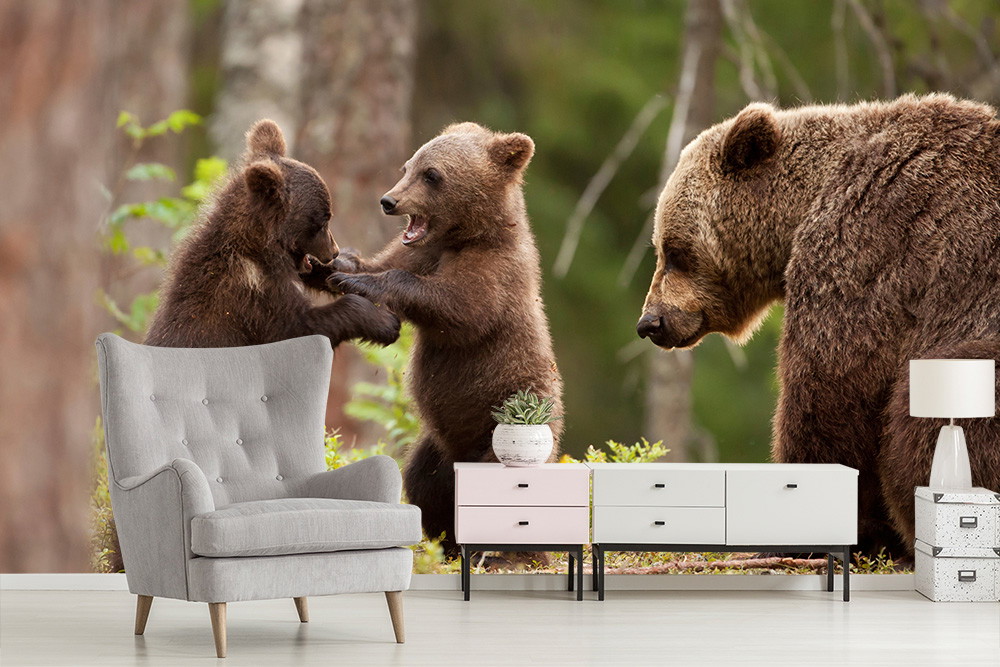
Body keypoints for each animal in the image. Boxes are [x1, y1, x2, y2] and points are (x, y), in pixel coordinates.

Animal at [145, 119, 400, 349]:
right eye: (323, 221)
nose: (333, 251)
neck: (259, 251)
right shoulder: (252, 298)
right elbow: (300, 327)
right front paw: (385, 322)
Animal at [321, 122, 564, 551]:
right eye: (407, 166)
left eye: (432, 174)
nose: (388, 200)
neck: (464, 237)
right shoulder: (420, 251)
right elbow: (383, 261)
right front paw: (341, 264)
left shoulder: (495, 274)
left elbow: (458, 308)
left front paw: (360, 281)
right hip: (437, 449)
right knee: (424, 482)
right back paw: (446, 541)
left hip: (510, 422)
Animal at [636, 94, 1000, 557]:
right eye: (661, 247)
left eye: (675, 251)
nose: (650, 322)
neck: (802, 208)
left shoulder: (868, 246)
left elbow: (831, 387)